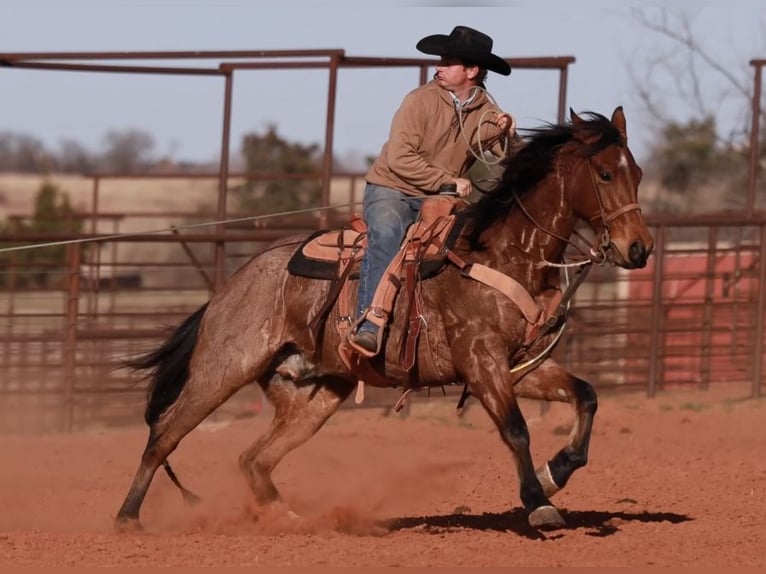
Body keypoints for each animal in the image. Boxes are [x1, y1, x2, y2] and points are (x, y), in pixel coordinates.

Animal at [115, 107, 653, 532]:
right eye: (605, 173)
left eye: (638, 172)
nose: (639, 249)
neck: (502, 252)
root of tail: (229, 288)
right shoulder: (482, 362)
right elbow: (516, 429)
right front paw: (539, 503)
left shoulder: (521, 366)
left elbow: (586, 396)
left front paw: (553, 473)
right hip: (223, 370)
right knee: (165, 434)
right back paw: (127, 519)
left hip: (318, 393)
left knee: (254, 458)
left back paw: (287, 518)